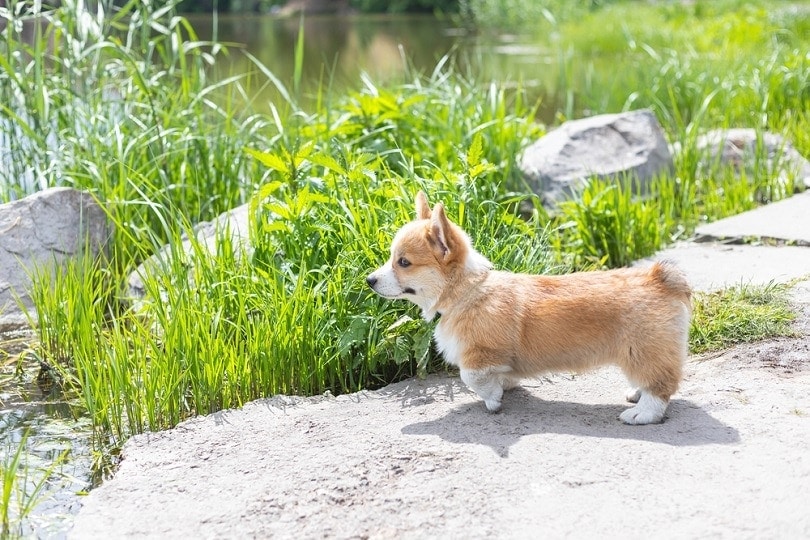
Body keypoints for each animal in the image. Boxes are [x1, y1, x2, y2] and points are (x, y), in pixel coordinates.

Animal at [366, 192, 688, 424]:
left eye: (403, 262)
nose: (369, 280)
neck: (468, 292)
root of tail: (660, 278)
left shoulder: (480, 355)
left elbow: (470, 377)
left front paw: (493, 398)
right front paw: (503, 386)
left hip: (642, 351)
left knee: (661, 387)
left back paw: (642, 413)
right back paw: (637, 394)